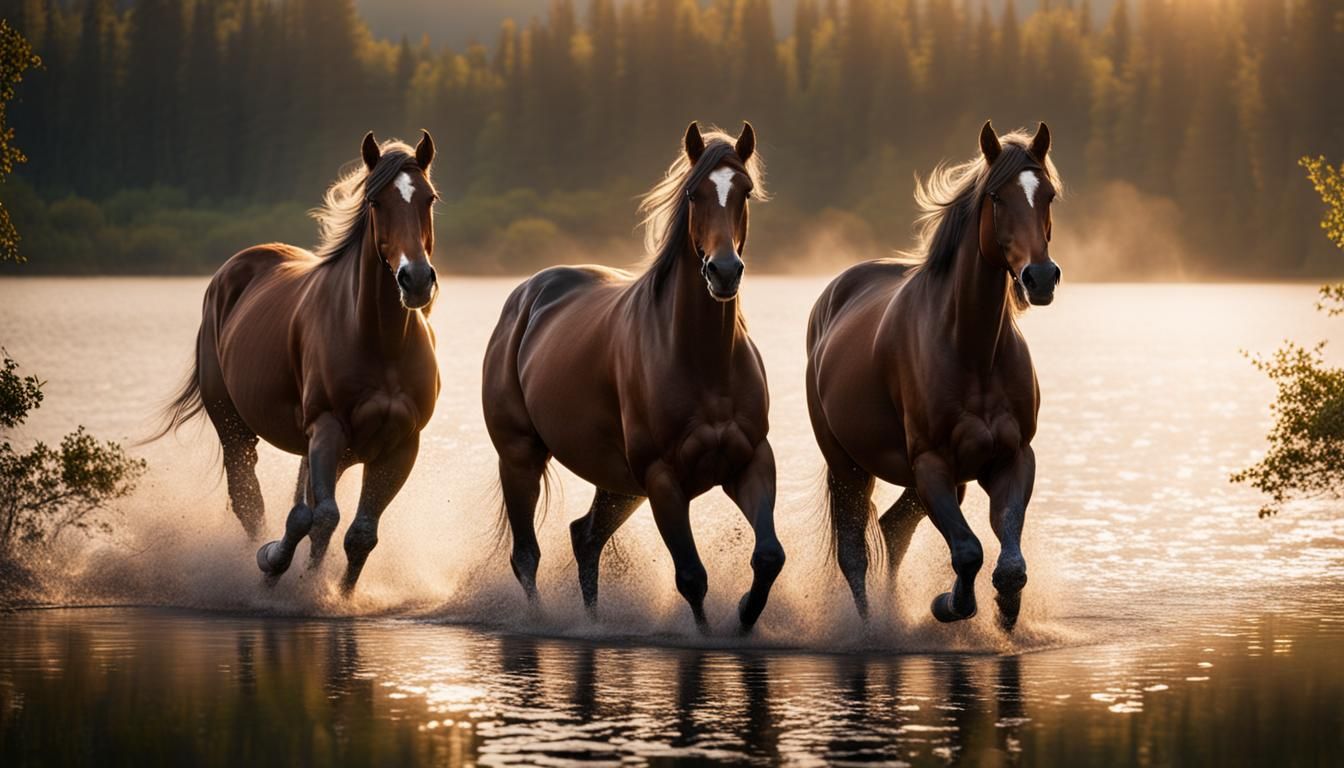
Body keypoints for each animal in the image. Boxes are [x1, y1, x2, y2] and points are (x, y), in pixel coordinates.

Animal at [153, 131, 442, 593]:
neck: (380, 342)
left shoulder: (401, 444)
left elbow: (359, 533)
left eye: (428, 198)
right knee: (249, 500)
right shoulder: (326, 428)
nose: (414, 280)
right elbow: (314, 518)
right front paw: (274, 563)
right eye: (376, 202)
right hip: (234, 428)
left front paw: (336, 595)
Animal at [481, 122, 785, 632]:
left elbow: (768, 557)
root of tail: (524, 297)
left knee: (584, 537)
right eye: (693, 192)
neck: (703, 363)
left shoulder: (750, 462)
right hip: (521, 458)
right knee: (526, 556)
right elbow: (691, 577)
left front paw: (746, 615)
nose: (724, 272)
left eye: (744, 191)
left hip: (619, 483)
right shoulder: (662, 479)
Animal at [805, 121, 1061, 630]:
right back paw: (871, 629)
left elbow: (1009, 564)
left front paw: (1005, 616)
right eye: (997, 196)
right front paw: (947, 604)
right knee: (855, 554)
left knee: (893, 529)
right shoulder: (931, 464)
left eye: (1048, 195)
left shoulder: (1012, 457)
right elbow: (967, 552)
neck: (973, 352)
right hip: (848, 467)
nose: (1040, 277)